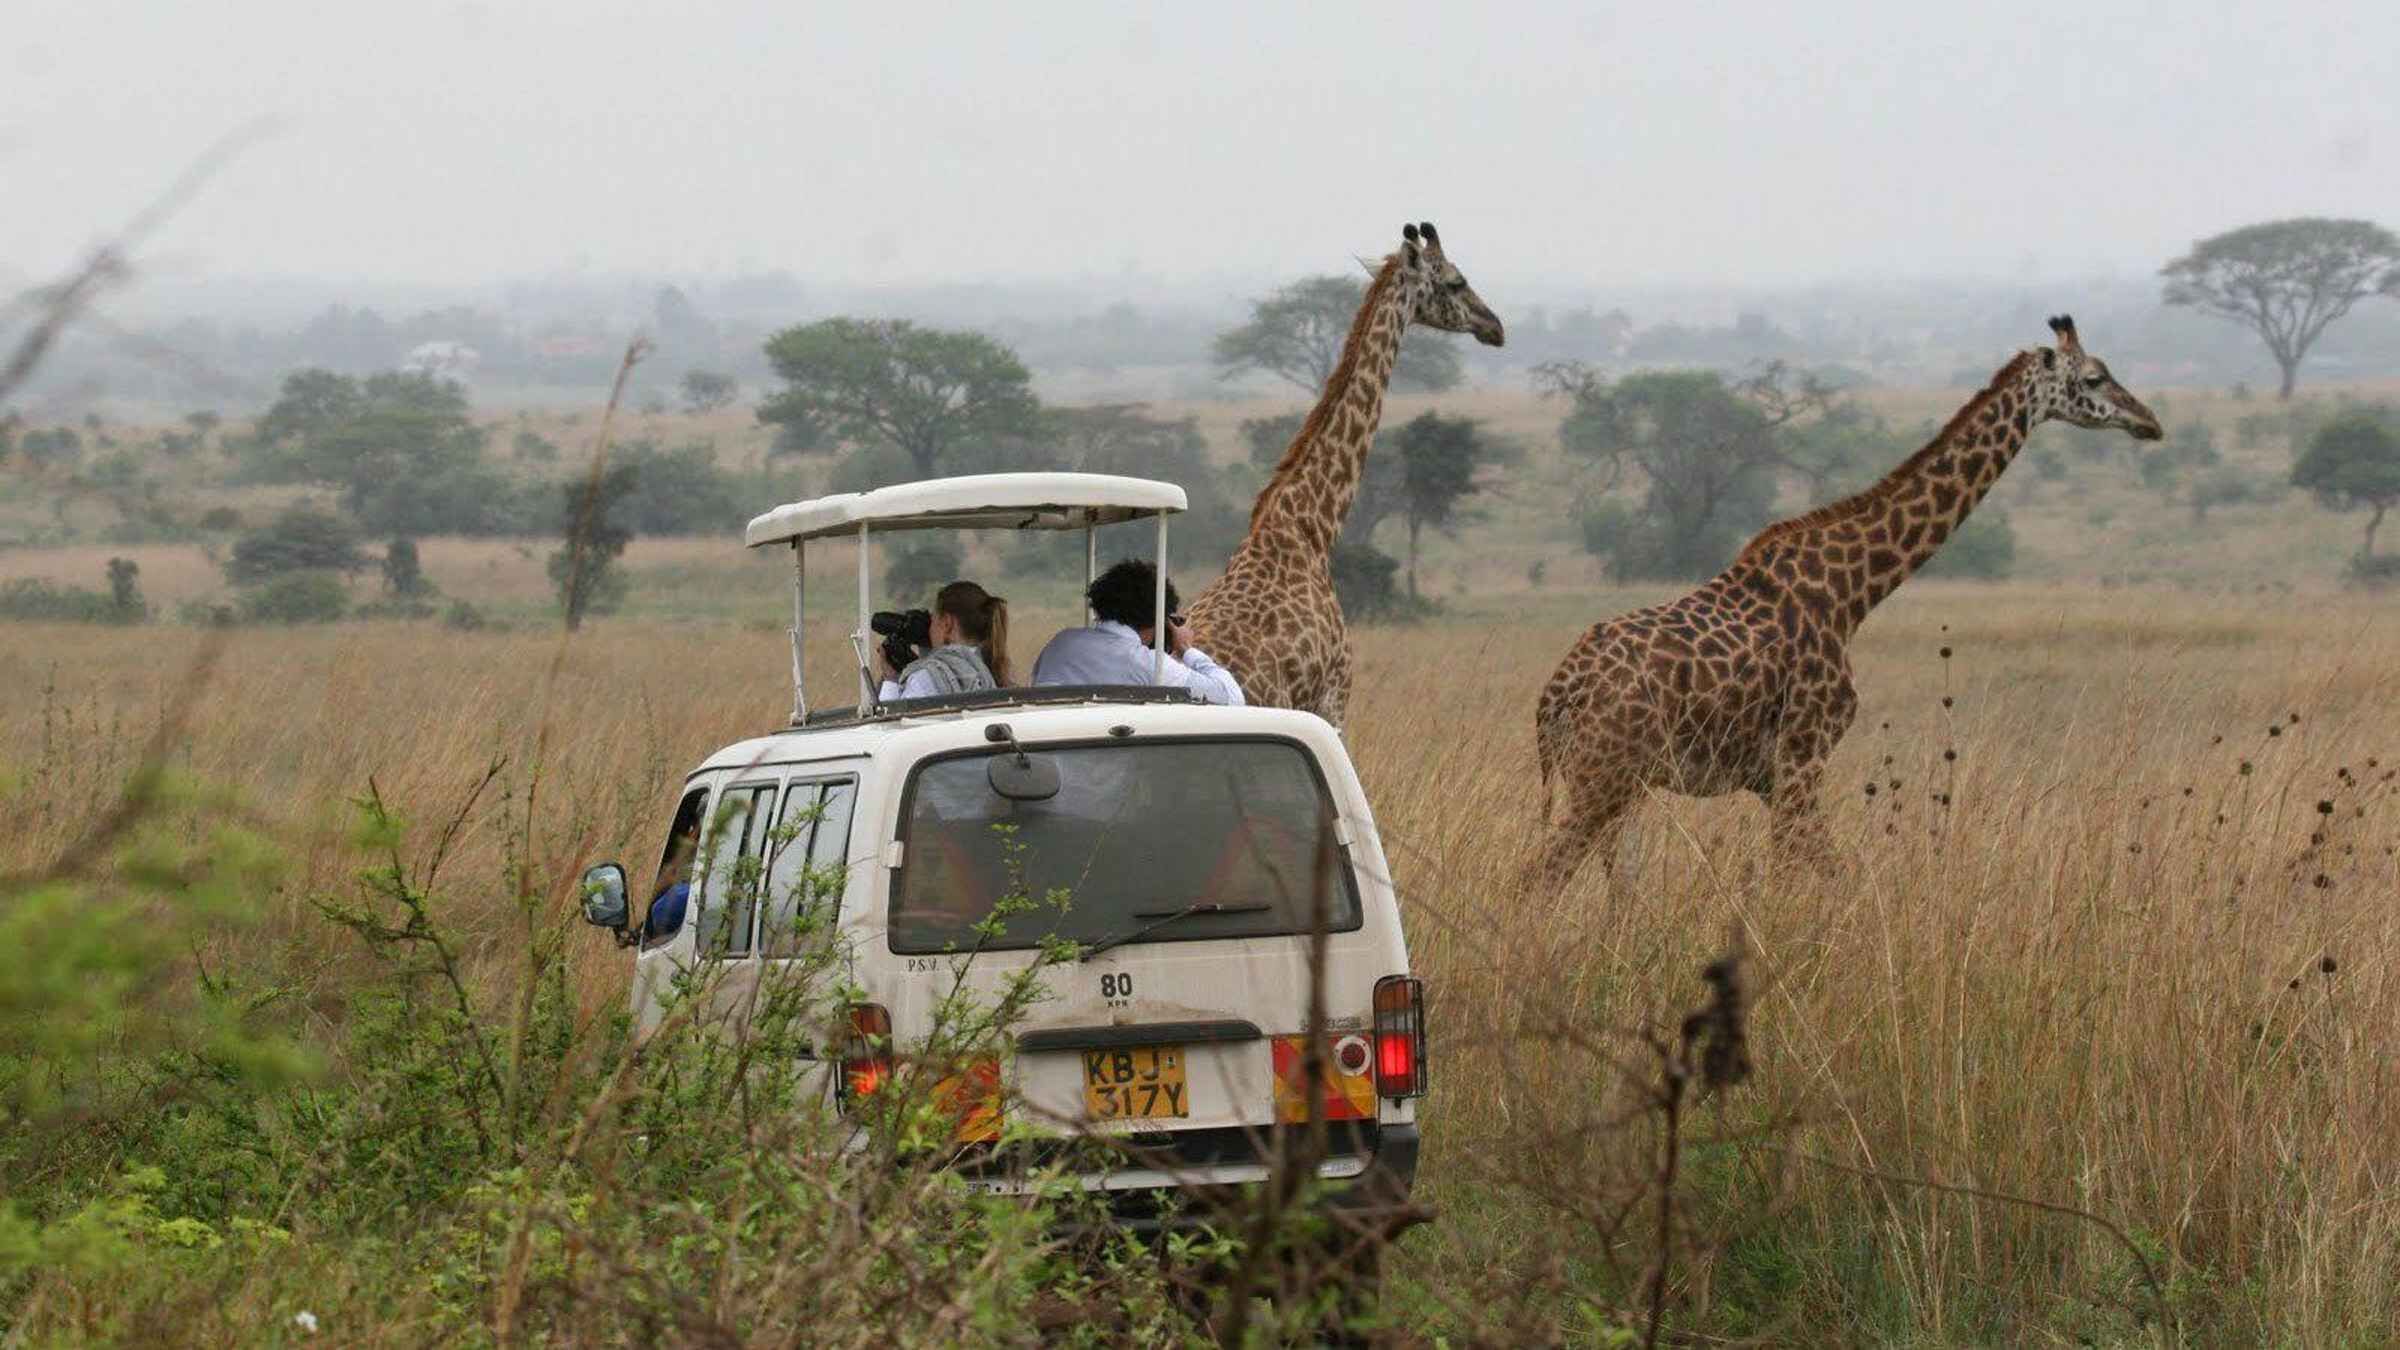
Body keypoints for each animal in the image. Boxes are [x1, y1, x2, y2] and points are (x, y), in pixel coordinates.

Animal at [1528, 316, 2162, 887]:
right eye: (2096, 377)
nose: (2149, 421)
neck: (1852, 593)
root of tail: (1554, 697)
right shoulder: (1801, 757)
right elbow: (1807, 876)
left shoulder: (1774, 776)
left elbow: (1823, 874)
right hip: (1603, 776)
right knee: (1541, 876)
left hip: (1618, 782)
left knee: (1613, 879)